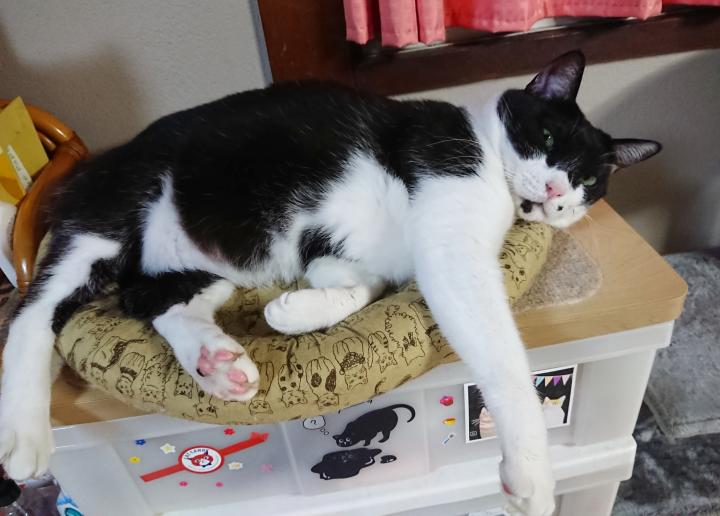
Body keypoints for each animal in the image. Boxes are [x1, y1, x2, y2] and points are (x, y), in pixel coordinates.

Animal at [0, 51, 660, 515]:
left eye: (588, 182)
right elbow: (500, 351)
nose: (554, 192)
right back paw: (25, 436)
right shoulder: (449, 233)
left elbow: (360, 284)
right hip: (111, 211)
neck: (488, 162)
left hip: (199, 269)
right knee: (36, 312)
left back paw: (217, 361)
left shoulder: (341, 255)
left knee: (159, 300)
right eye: (546, 140)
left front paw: (296, 311)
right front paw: (531, 475)